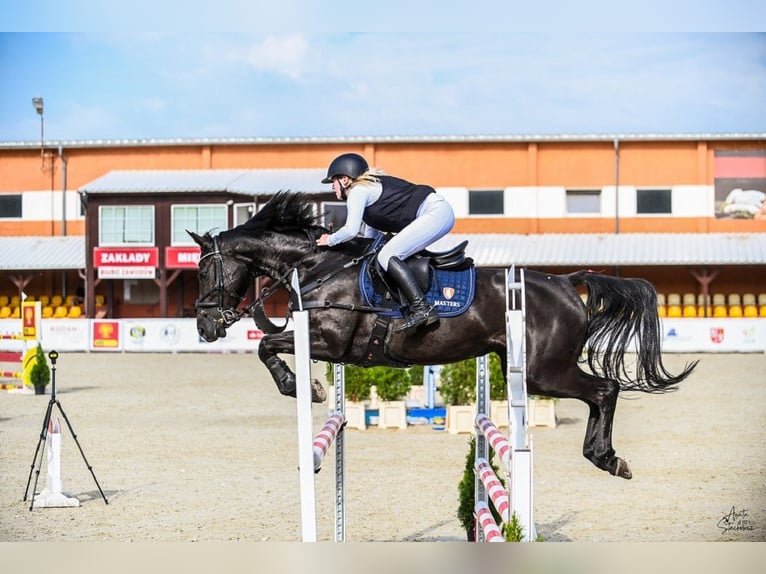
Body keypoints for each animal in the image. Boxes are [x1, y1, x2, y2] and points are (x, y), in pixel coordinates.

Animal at [190, 191, 696, 480]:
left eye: (203, 270)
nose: (205, 327)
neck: (319, 266)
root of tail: (567, 282)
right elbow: (267, 345)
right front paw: (305, 385)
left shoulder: (331, 340)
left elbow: (266, 345)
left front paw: (302, 386)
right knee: (600, 392)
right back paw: (605, 457)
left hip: (543, 372)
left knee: (604, 390)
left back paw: (607, 458)